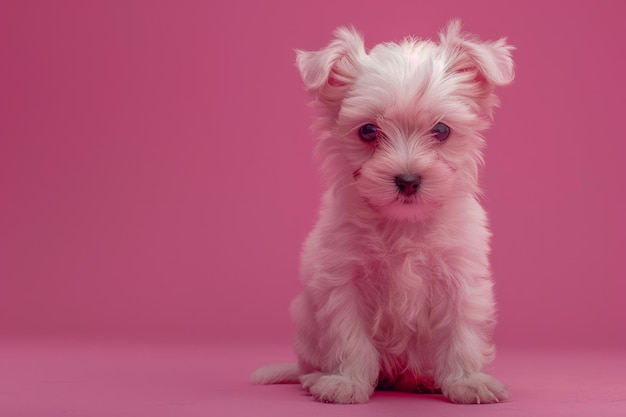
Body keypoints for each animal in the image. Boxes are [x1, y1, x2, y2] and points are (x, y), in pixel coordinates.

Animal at [251, 20, 516, 404]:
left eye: (441, 130)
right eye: (367, 131)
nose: (407, 180)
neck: (403, 223)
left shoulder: (460, 276)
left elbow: (461, 331)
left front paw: (467, 381)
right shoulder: (342, 280)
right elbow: (349, 336)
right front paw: (346, 382)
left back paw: (425, 380)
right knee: (308, 365)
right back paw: (315, 378)